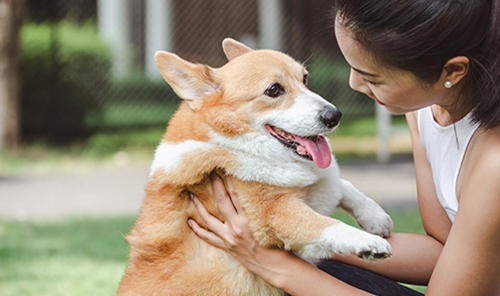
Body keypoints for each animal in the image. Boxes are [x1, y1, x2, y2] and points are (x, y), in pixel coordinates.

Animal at [118, 38, 394, 294]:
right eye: (273, 90)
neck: (235, 143)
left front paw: (375, 217)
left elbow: (341, 184)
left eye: (305, 79)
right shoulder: (274, 213)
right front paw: (368, 242)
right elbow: (324, 224)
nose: (334, 116)